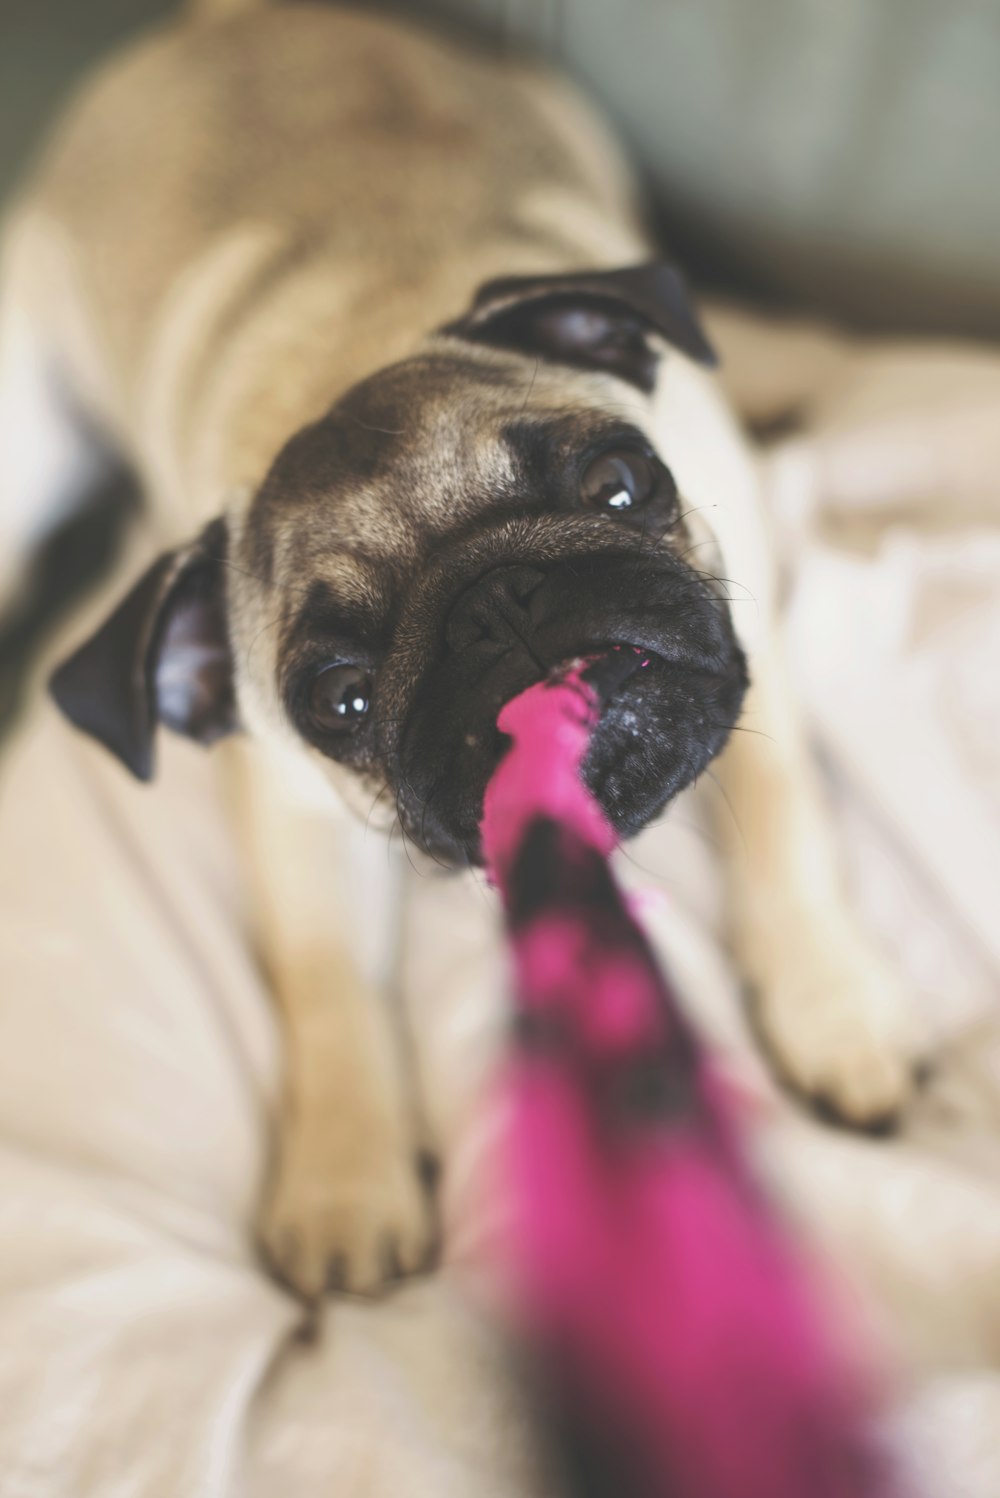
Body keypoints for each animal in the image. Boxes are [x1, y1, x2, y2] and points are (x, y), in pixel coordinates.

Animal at [0, 0, 922, 1300]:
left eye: (622, 484)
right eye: (338, 699)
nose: (498, 605)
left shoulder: (752, 643)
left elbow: (785, 815)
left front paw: (831, 1002)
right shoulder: (289, 810)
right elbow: (326, 982)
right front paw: (345, 1179)